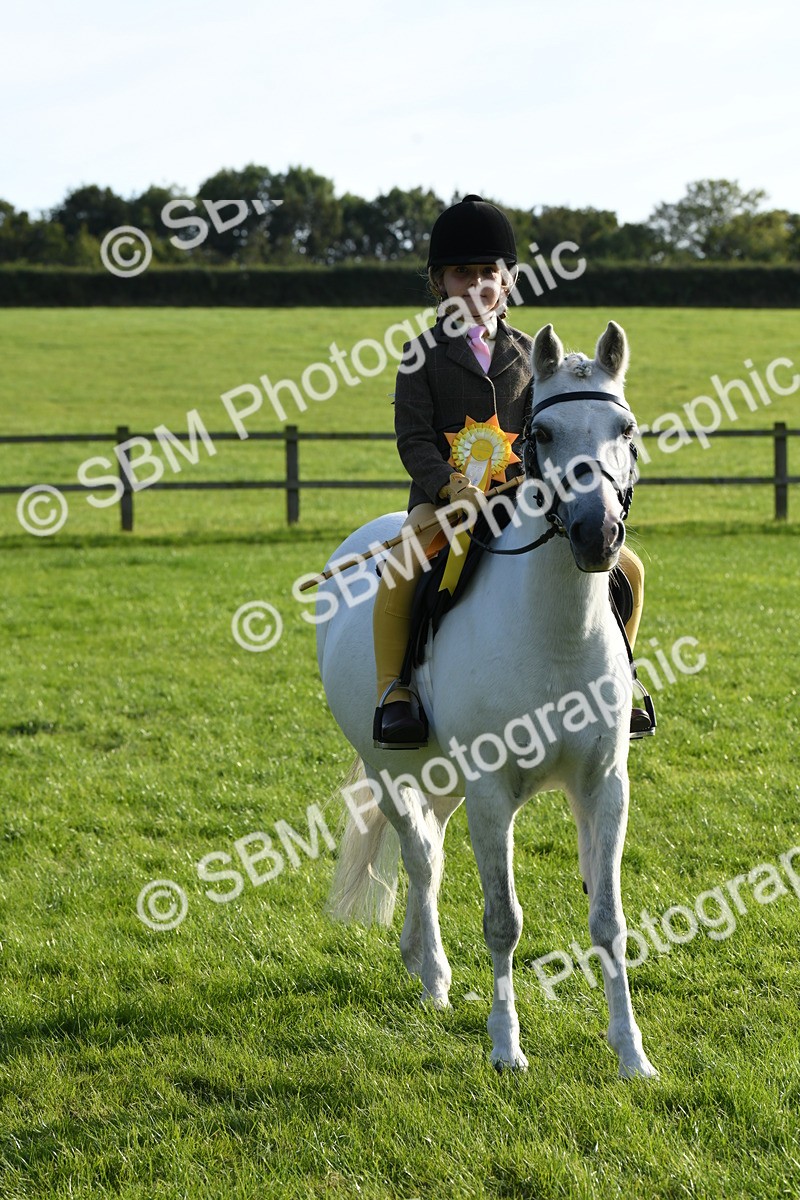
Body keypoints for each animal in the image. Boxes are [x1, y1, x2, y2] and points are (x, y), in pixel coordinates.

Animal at [316, 321, 657, 1079]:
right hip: (392, 770)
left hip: (448, 783)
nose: (597, 534)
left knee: (433, 850)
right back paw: (434, 977)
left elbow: (609, 921)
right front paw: (505, 1048)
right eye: (544, 433)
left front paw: (631, 1054)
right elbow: (503, 919)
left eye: (624, 428)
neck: (555, 631)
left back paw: (419, 957)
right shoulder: (492, 788)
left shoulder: (605, 784)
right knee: (420, 856)